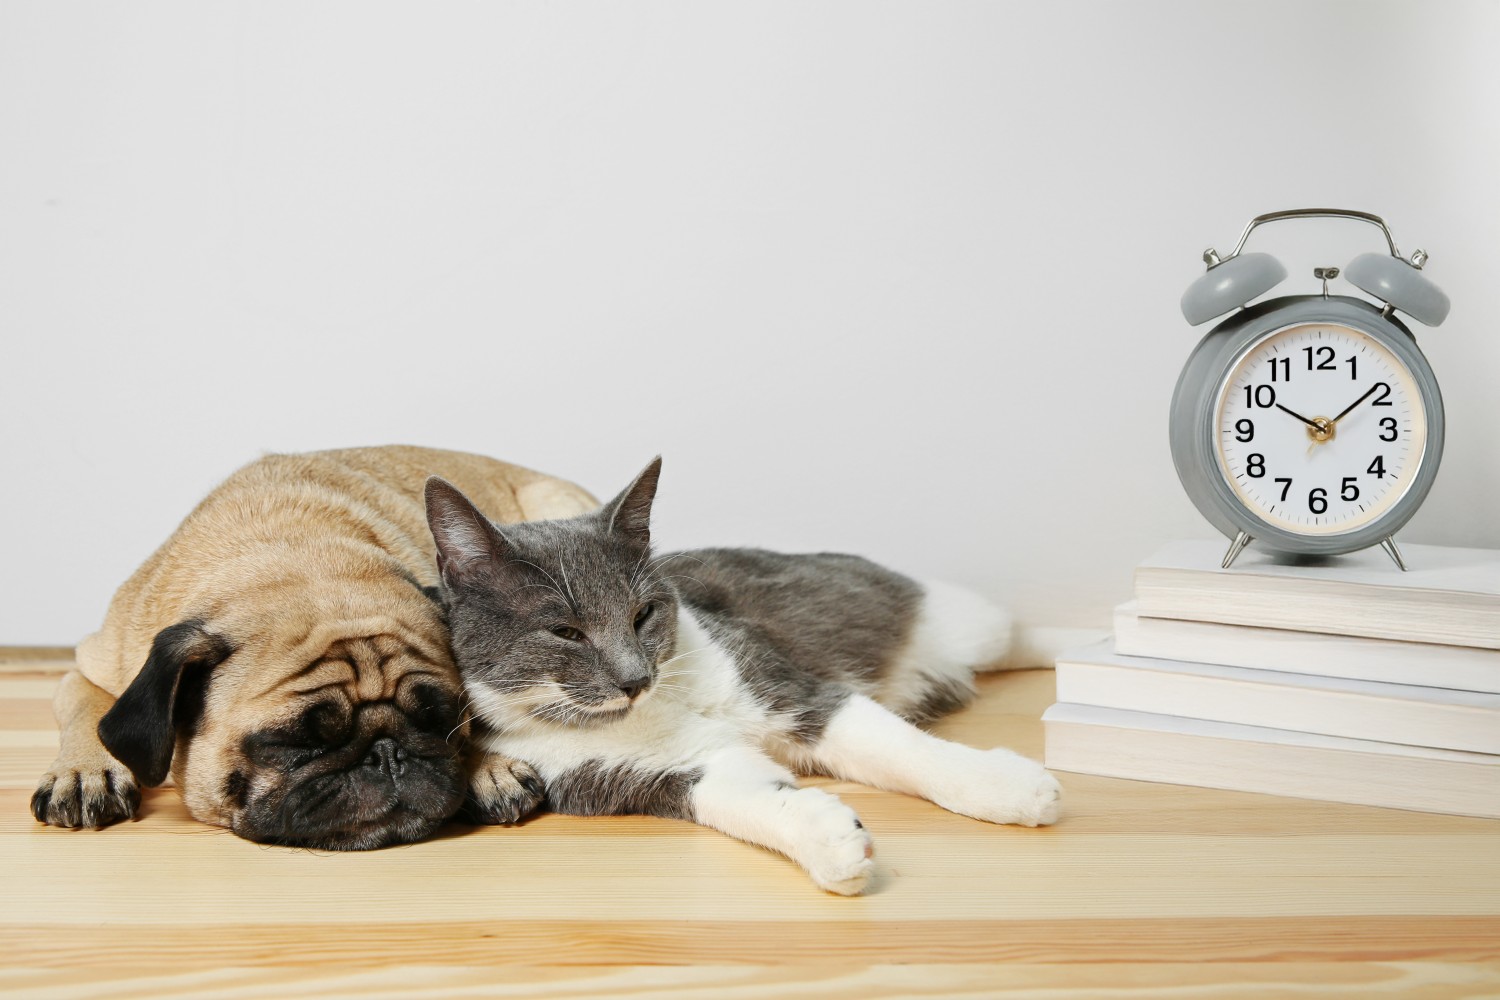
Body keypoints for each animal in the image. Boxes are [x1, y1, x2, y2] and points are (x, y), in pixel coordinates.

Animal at [29, 449, 591, 851]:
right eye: (294, 743)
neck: (294, 553)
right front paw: (82, 771)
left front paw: (487, 766)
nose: (386, 754)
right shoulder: (92, 666)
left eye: (440, 721)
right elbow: (88, 708)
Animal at [426, 458, 1068, 893]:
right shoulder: (626, 775)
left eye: (643, 614)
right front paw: (829, 839)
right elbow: (739, 794)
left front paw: (1005, 787)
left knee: (1017, 634)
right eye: (565, 632)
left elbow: (899, 747)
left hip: (960, 622)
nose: (635, 679)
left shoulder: (782, 682)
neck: (659, 707)